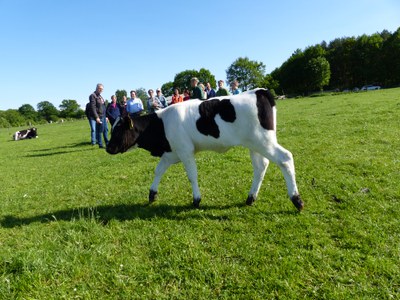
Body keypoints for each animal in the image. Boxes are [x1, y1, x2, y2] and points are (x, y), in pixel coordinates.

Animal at [106, 89, 304, 211]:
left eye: (118, 130)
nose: (107, 148)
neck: (162, 124)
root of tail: (259, 91)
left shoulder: (185, 151)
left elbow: (192, 175)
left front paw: (196, 200)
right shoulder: (171, 153)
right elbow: (159, 170)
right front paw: (152, 194)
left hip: (263, 141)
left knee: (285, 158)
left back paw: (296, 199)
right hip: (255, 144)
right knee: (261, 166)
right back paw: (250, 198)